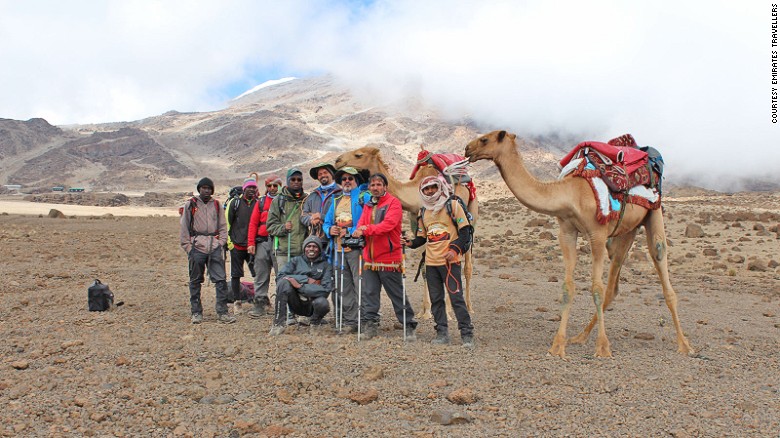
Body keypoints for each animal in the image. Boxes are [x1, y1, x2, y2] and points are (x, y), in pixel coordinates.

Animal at [334, 145, 478, 320]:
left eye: (359, 154)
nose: (337, 160)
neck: (415, 195)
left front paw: (448, 313)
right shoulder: (417, 221)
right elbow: (425, 268)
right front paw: (425, 312)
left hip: (472, 211)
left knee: (467, 265)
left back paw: (469, 308)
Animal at [466, 129, 692, 356]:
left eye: (485, 139)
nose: (467, 149)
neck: (570, 194)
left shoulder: (598, 233)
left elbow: (596, 289)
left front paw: (602, 348)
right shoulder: (567, 231)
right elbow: (568, 287)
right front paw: (558, 345)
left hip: (654, 211)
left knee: (660, 261)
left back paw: (684, 344)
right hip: (627, 229)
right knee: (613, 283)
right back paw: (580, 337)